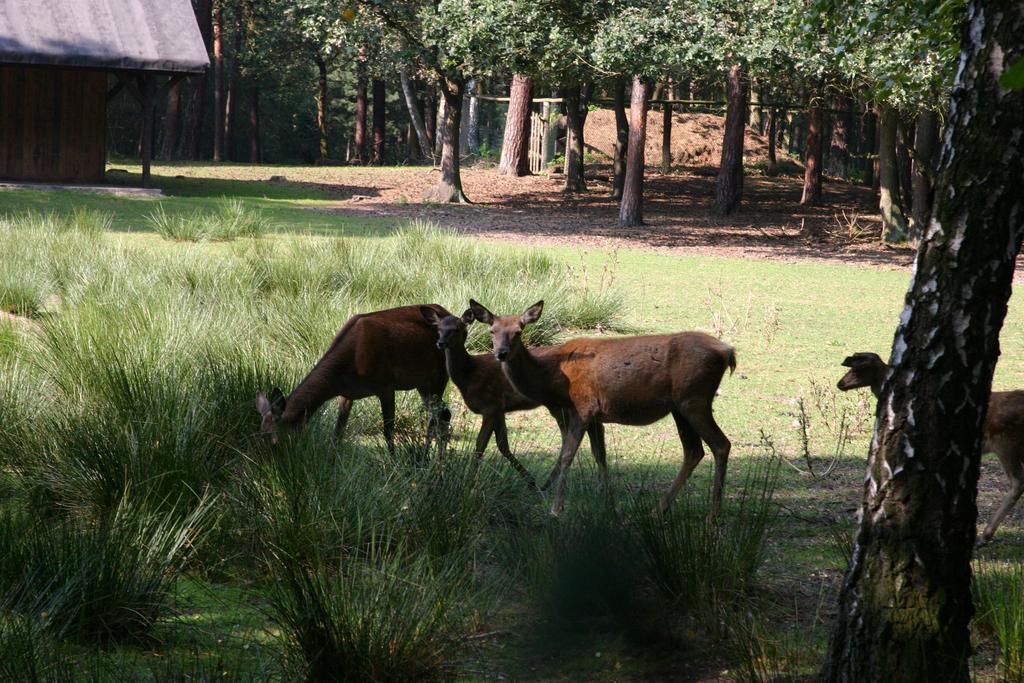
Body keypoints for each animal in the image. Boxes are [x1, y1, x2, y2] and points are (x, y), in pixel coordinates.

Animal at [253, 305, 450, 454]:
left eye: (273, 440)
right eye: (260, 434)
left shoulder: (386, 385)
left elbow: (388, 432)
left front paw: (395, 465)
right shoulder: (347, 393)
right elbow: (337, 433)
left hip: (439, 375)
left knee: (438, 416)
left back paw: (426, 459)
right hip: (423, 383)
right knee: (443, 414)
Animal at [417, 307, 602, 489]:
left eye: (456, 329)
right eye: (438, 329)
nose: (440, 343)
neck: (470, 375)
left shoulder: (490, 405)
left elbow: (480, 445)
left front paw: (468, 481)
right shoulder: (500, 409)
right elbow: (503, 445)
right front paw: (530, 481)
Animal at [471, 299, 737, 518]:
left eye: (518, 331)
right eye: (492, 330)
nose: (501, 353)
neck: (553, 380)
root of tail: (727, 352)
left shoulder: (583, 406)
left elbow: (567, 454)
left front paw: (556, 509)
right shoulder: (595, 416)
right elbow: (601, 455)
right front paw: (607, 504)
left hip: (695, 399)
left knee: (721, 444)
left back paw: (713, 515)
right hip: (680, 407)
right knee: (693, 451)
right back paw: (658, 510)